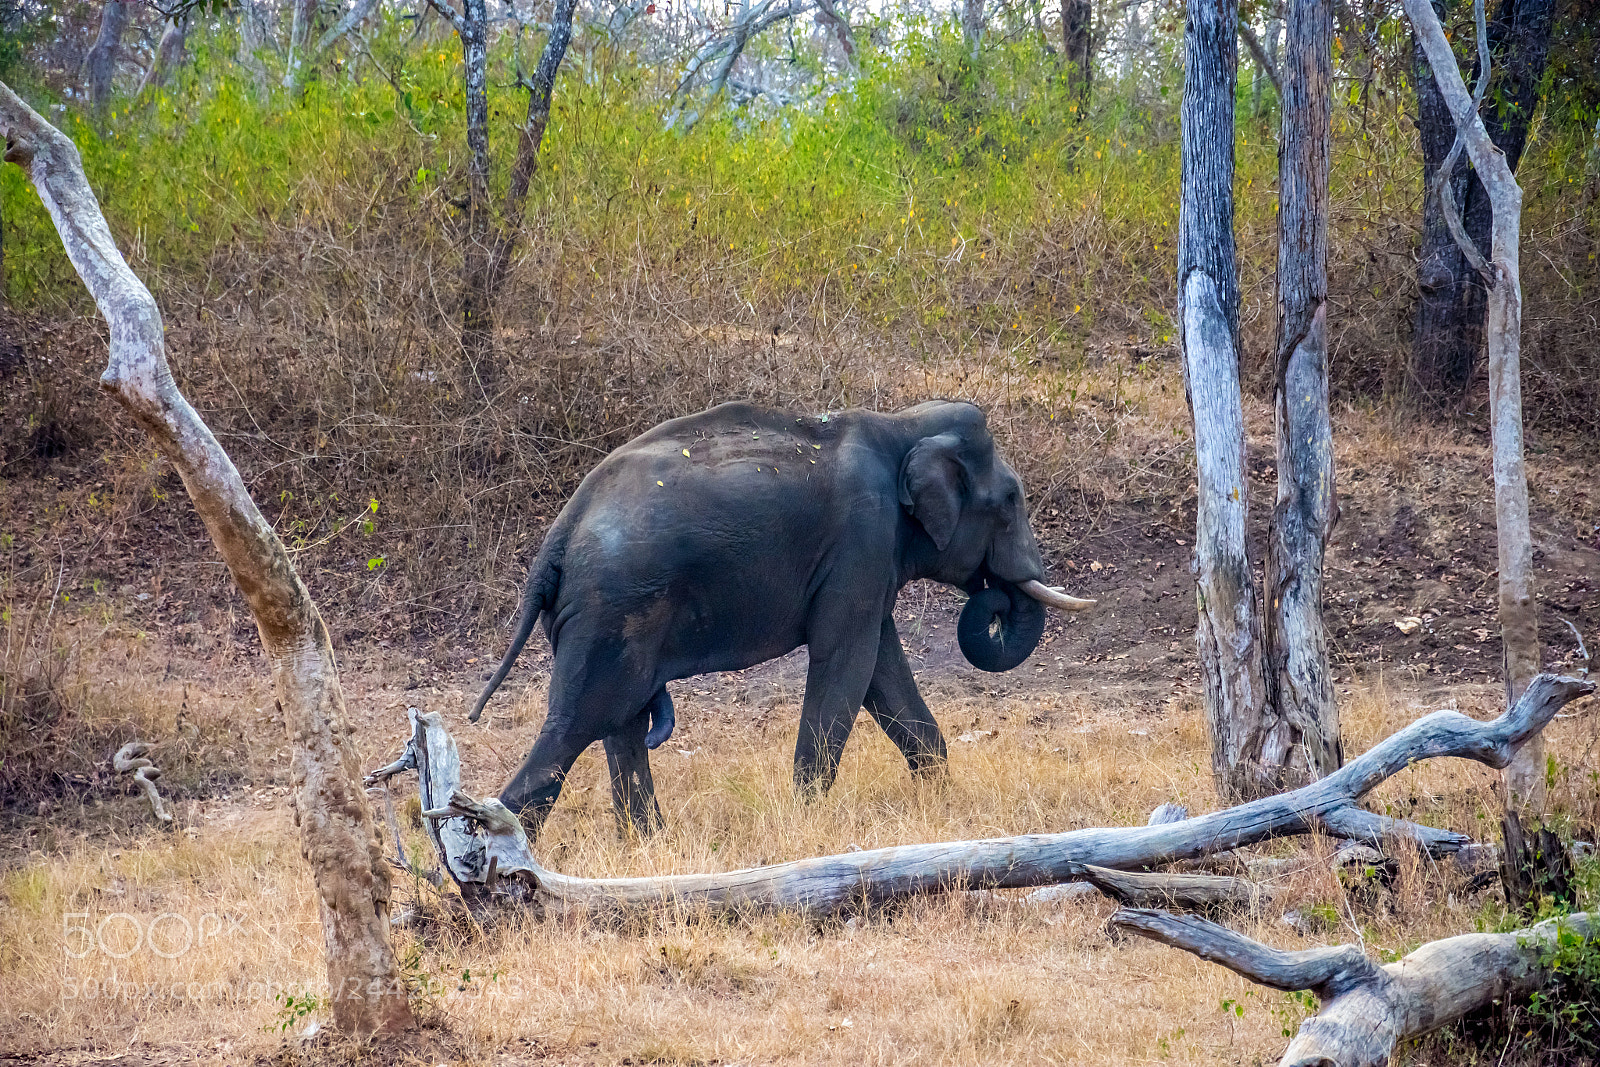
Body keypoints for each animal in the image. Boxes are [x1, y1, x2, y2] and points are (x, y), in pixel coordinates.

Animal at [469, 399, 1095, 836]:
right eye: (1011, 500)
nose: (996, 596)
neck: (901, 425)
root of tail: (559, 534)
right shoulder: (862, 540)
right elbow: (848, 663)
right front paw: (808, 823)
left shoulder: (866, 559)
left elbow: (881, 671)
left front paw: (941, 798)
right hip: (612, 610)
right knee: (577, 724)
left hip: (608, 617)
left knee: (619, 724)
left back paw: (647, 846)